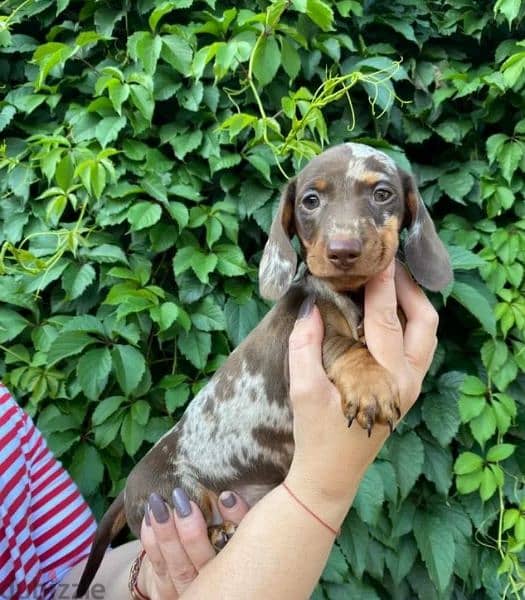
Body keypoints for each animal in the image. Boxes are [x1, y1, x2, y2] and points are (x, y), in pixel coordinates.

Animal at [77, 142, 450, 596]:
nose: (343, 250)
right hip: (172, 492)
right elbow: (343, 345)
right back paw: (218, 532)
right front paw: (370, 384)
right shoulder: (302, 334)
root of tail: (129, 487)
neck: (354, 296)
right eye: (311, 200)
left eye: (382, 194)